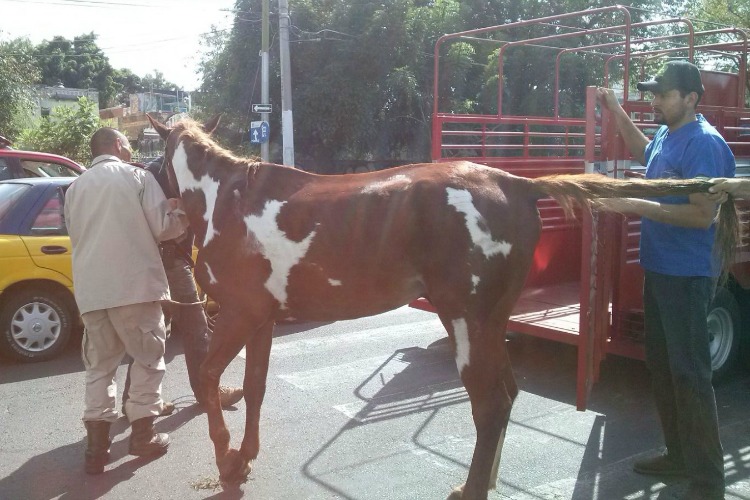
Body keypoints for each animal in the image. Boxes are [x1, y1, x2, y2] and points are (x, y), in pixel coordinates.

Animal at [146, 114, 738, 499]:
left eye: (155, 156)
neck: (228, 200)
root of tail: (515, 184)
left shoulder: (240, 315)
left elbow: (206, 379)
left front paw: (225, 459)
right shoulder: (263, 319)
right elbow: (254, 388)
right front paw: (244, 456)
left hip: (466, 320)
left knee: (490, 404)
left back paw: (473, 487)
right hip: (489, 322)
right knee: (506, 394)